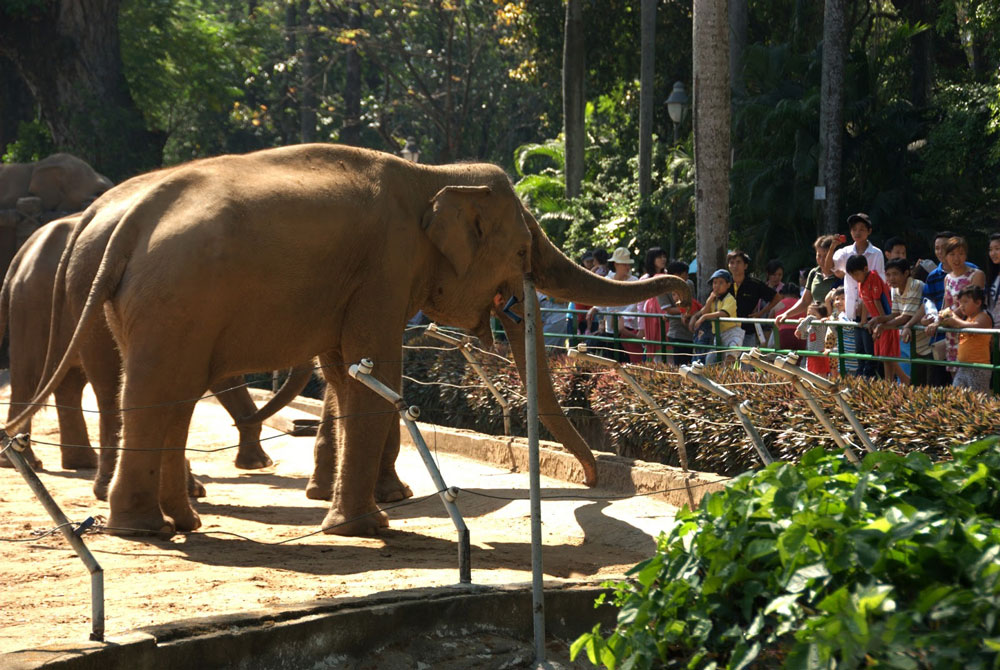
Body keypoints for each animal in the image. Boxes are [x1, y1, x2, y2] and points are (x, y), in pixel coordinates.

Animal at [0, 215, 312, 498]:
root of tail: (18, 259)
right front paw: (257, 465)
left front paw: (254, 464)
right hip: (35, 306)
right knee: (32, 377)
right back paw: (30, 462)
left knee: (70, 382)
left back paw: (80, 463)